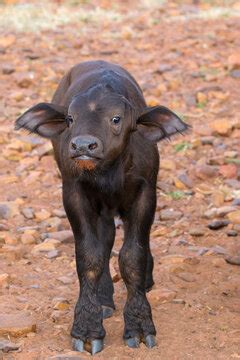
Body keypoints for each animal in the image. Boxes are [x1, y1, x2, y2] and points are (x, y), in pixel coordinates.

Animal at [15, 59, 189, 354]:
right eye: (70, 118)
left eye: (116, 118)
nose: (83, 145)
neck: (109, 173)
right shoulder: (74, 194)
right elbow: (90, 256)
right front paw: (87, 327)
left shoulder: (146, 193)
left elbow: (132, 256)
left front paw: (139, 325)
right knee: (105, 239)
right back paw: (104, 300)